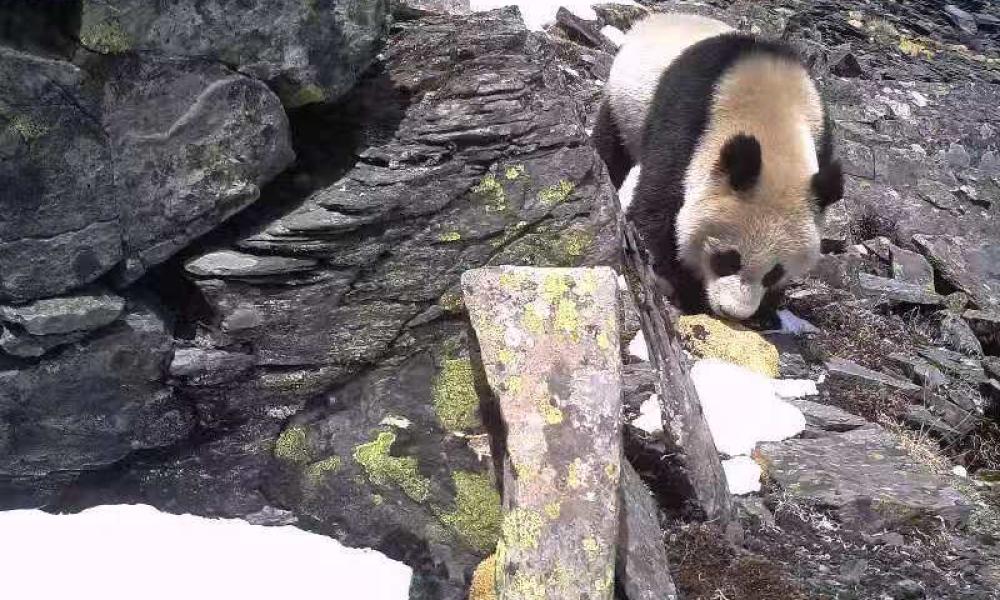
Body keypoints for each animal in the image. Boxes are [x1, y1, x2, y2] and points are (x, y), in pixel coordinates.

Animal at [593, 13, 844, 320]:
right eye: (727, 259)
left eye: (774, 272)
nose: (734, 313)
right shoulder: (688, 124)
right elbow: (657, 209)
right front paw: (687, 290)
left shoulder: (820, 140)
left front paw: (767, 310)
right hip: (623, 104)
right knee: (610, 149)